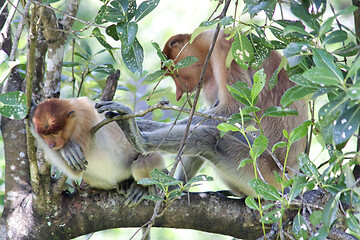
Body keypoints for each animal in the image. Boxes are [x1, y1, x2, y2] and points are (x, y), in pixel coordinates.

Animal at [30, 96, 164, 202]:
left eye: (56, 132)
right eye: (45, 135)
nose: (51, 145)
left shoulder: (84, 121)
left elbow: (75, 171)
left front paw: (67, 150)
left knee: (140, 164)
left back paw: (141, 188)